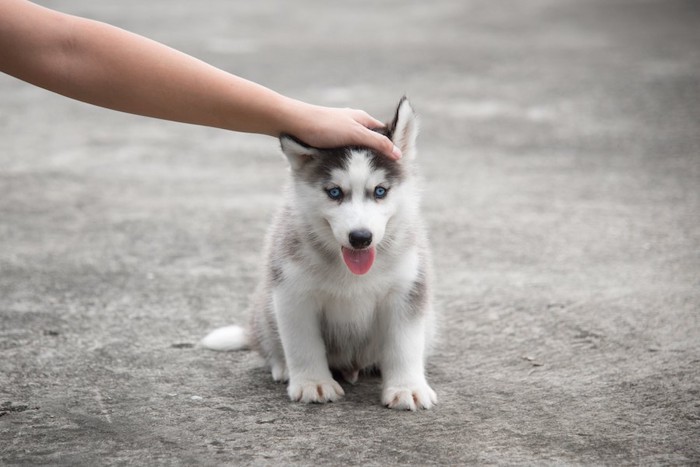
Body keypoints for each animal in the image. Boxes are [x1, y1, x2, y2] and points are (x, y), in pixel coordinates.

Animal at [200, 98, 434, 410]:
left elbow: (404, 345)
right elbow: (303, 344)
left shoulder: (407, 288)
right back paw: (283, 367)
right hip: (265, 307)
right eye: (334, 192)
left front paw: (407, 388)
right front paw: (314, 383)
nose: (360, 238)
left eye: (380, 191)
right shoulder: (292, 292)